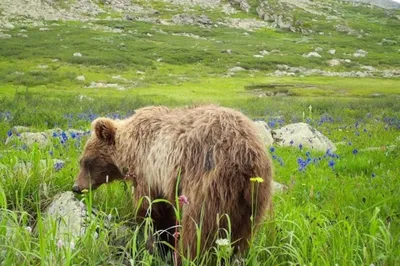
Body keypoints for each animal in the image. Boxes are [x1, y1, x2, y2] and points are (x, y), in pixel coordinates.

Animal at [72, 104, 274, 262]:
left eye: (85, 161)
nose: (76, 187)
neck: (129, 150)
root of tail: (249, 158)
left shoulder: (149, 172)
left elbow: (150, 209)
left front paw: (157, 242)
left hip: (209, 184)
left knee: (198, 229)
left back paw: (187, 256)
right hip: (252, 200)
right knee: (240, 235)